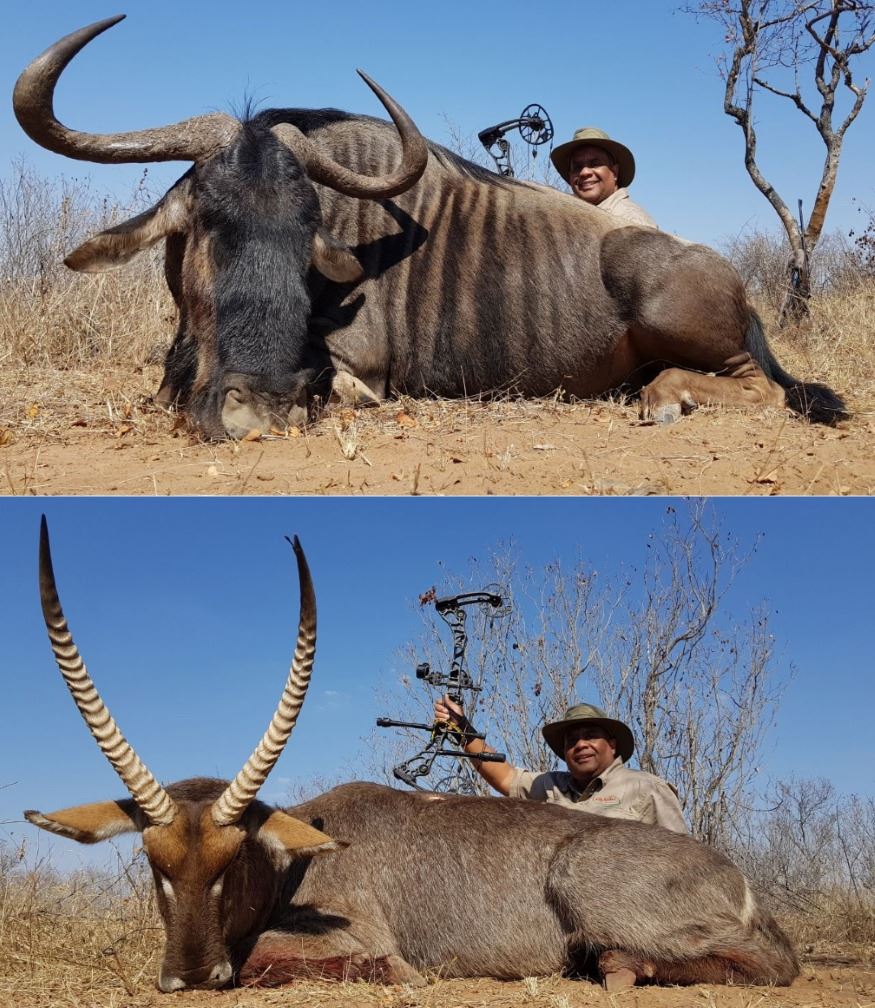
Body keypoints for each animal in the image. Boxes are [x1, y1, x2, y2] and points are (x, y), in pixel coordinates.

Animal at [14, 17, 847, 439]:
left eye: (307, 232)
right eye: (207, 222)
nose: (262, 409)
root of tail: (731, 286)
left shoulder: (362, 368)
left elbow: (346, 384)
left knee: (758, 388)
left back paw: (664, 397)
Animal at [28, 518, 800, 993]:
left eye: (232, 858)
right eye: (152, 862)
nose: (190, 977)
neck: (291, 865)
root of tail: (733, 874)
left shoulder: (346, 936)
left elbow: (266, 959)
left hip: (585, 880)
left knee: (771, 962)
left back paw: (619, 965)